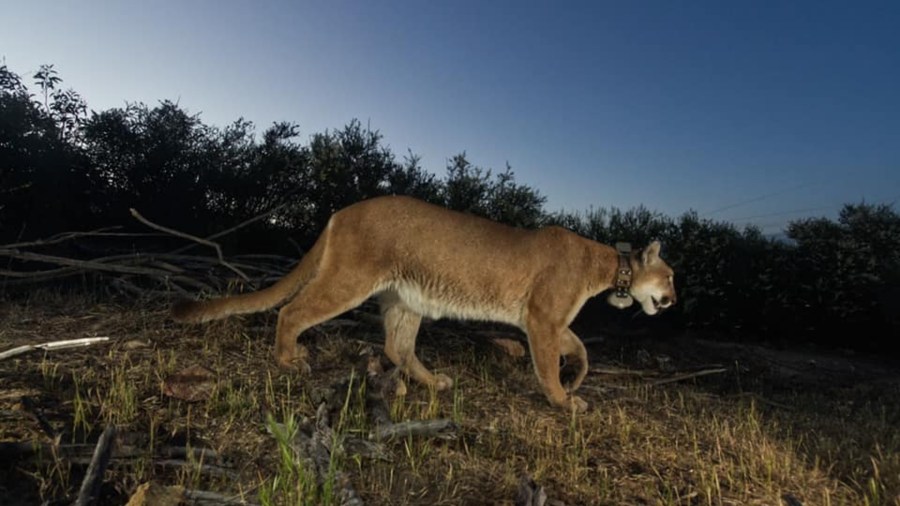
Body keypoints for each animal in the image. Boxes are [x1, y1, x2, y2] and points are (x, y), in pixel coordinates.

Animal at [171, 194, 676, 412]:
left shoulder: (547, 321)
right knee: (291, 311)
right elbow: (549, 364)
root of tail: (341, 211)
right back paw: (289, 359)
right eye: (670, 276)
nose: (672, 299)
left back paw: (434, 382)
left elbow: (580, 347)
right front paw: (564, 399)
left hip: (407, 298)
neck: (609, 264)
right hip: (350, 279)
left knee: (397, 347)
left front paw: (577, 378)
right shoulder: (542, 318)